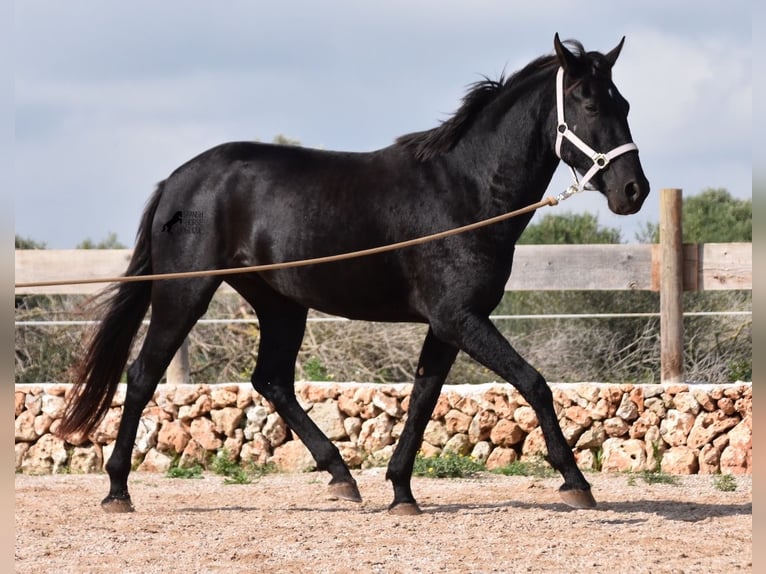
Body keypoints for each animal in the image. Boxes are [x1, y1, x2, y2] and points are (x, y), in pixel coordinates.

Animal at [60, 33, 648, 516]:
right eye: (590, 103)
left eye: (624, 103)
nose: (633, 191)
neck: (465, 191)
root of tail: (177, 182)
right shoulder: (460, 318)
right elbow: (534, 383)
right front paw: (576, 482)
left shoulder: (448, 323)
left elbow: (425, 395)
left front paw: (401, 491)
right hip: (184, 293)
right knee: (143, 375)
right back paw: (118, 490)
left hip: (280, 303)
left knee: (271, 380)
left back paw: (341, 475)